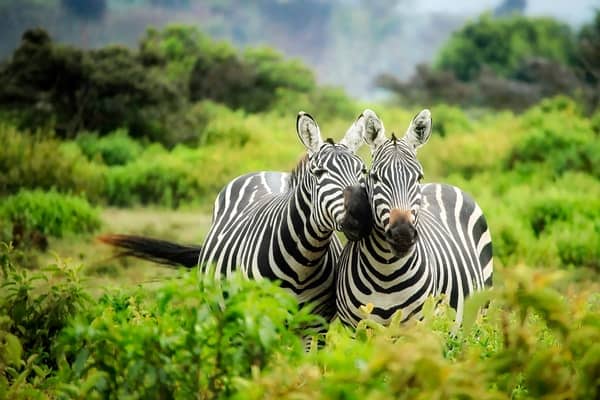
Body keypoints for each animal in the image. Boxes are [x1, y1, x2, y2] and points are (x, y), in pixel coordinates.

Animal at [99, 110, 370, 322]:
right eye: (319, 172)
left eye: (363, 171)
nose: (360, 215)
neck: (304, 261)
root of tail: (265, 172)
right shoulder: (260, 317)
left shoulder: (315, 325)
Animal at [336, 109, 494, 328]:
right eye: (375, 177)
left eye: (418, 177)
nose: (403, 235)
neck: (386, 274)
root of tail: (443, 184)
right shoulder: (354, 328)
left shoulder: (417, 327)